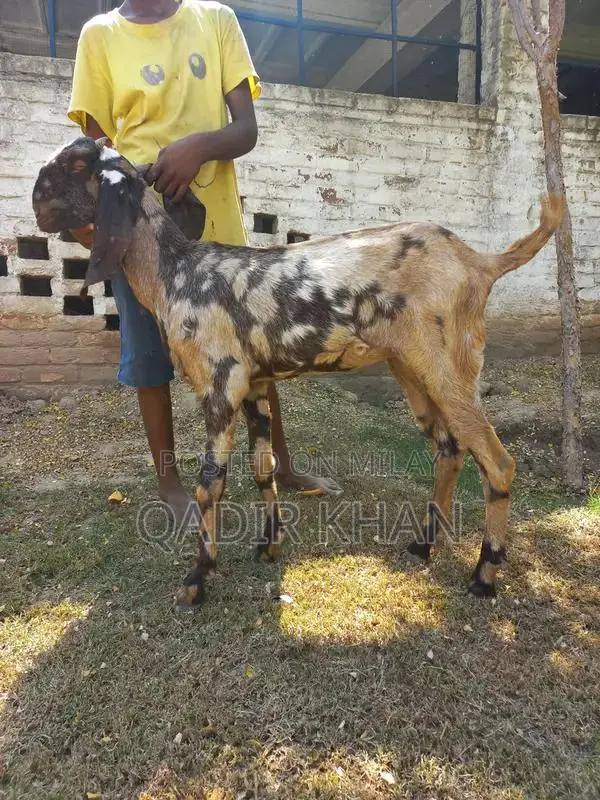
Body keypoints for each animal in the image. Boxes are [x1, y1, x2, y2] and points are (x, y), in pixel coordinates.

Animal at [32, 136, 564, 606]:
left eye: (76, 165)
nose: (36, 204)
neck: (176, 273)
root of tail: (479, 262)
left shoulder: (220, 385)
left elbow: (210, 484)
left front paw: (197, 580)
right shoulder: (255, 385)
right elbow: (262, 470)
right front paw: (268, 546)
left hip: (450, 366)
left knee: (497, 462)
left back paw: (484, 576)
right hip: (412, 371)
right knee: (449, 450)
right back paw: (424, 546)